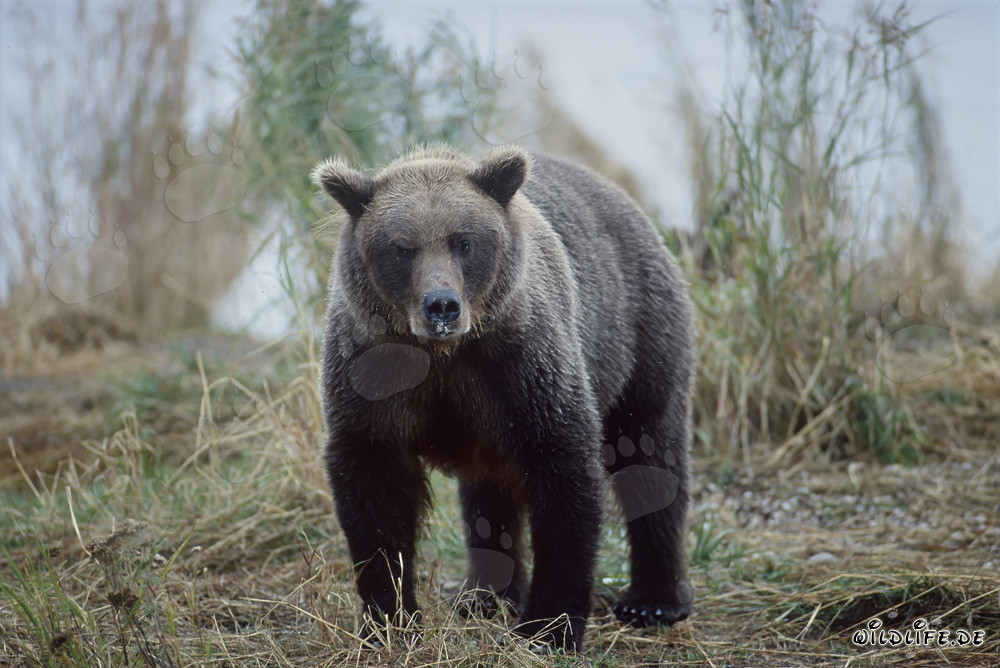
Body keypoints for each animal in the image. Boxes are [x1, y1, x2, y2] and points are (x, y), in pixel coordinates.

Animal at [312, 145, 694, 651]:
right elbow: (374, 490)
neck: (445, 356)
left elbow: (564, 472)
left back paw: (653, 601)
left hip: (639, 336)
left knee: (649, 458)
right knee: (488, 498)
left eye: (464, 241)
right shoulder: (376, 374)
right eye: (402, 247)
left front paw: (549, 627)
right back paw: (485, 595)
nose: (441, 306)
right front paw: (388, 621)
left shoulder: (524, 369)